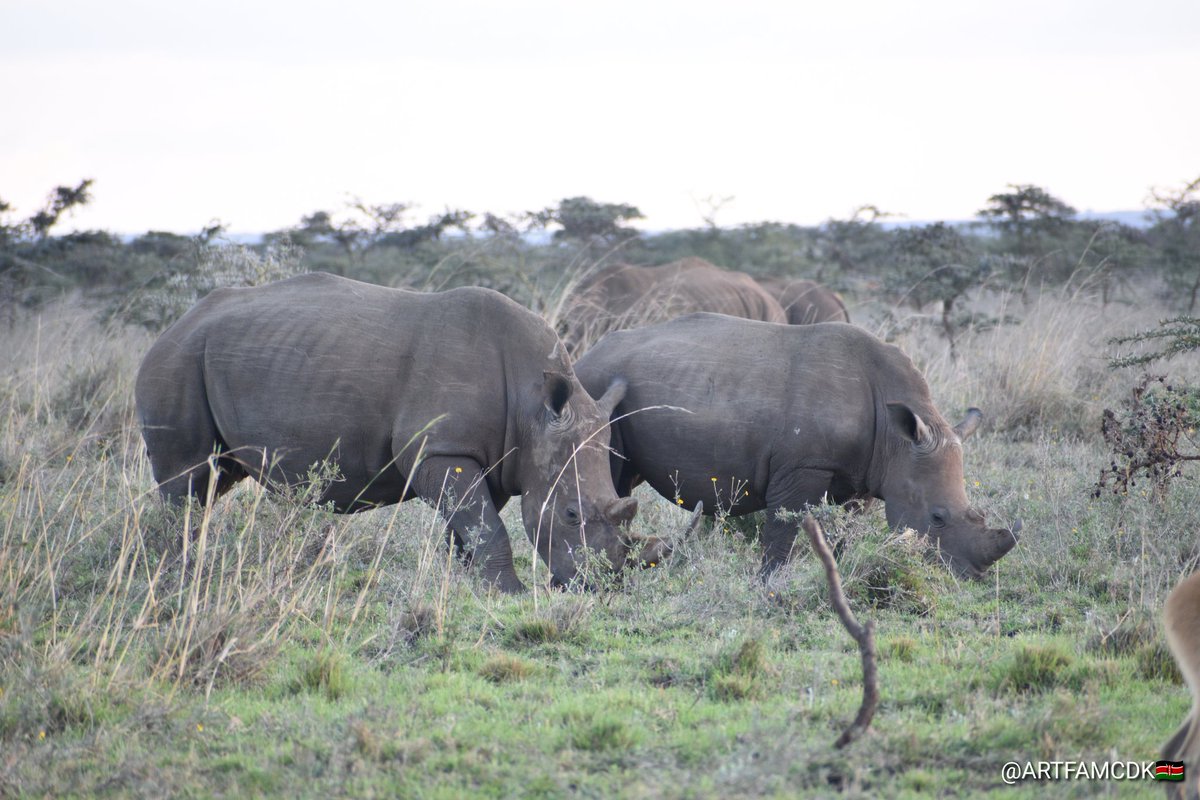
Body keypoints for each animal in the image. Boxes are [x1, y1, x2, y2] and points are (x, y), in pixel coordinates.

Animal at [135, 272, 653, 593]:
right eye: (570, 515)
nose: (599, 584)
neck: (534, 408)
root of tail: (174, 325)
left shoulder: (483, 456)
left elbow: (469, 528)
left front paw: (466, 585)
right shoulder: (440, 450)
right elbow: (487, 528)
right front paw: (509, 593)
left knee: (216, 477)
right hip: (177, 361)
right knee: (187, 479)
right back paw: (180, 576)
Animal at [574, 313, 1020, 578]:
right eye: (938, 517)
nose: (970, 576)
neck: (898, 438)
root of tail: (583, 357)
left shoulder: (867, 471)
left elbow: (847, 528)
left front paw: (839, 568)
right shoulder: (803, 465)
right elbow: (783, 528)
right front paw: (770, 581)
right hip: (598, 386)